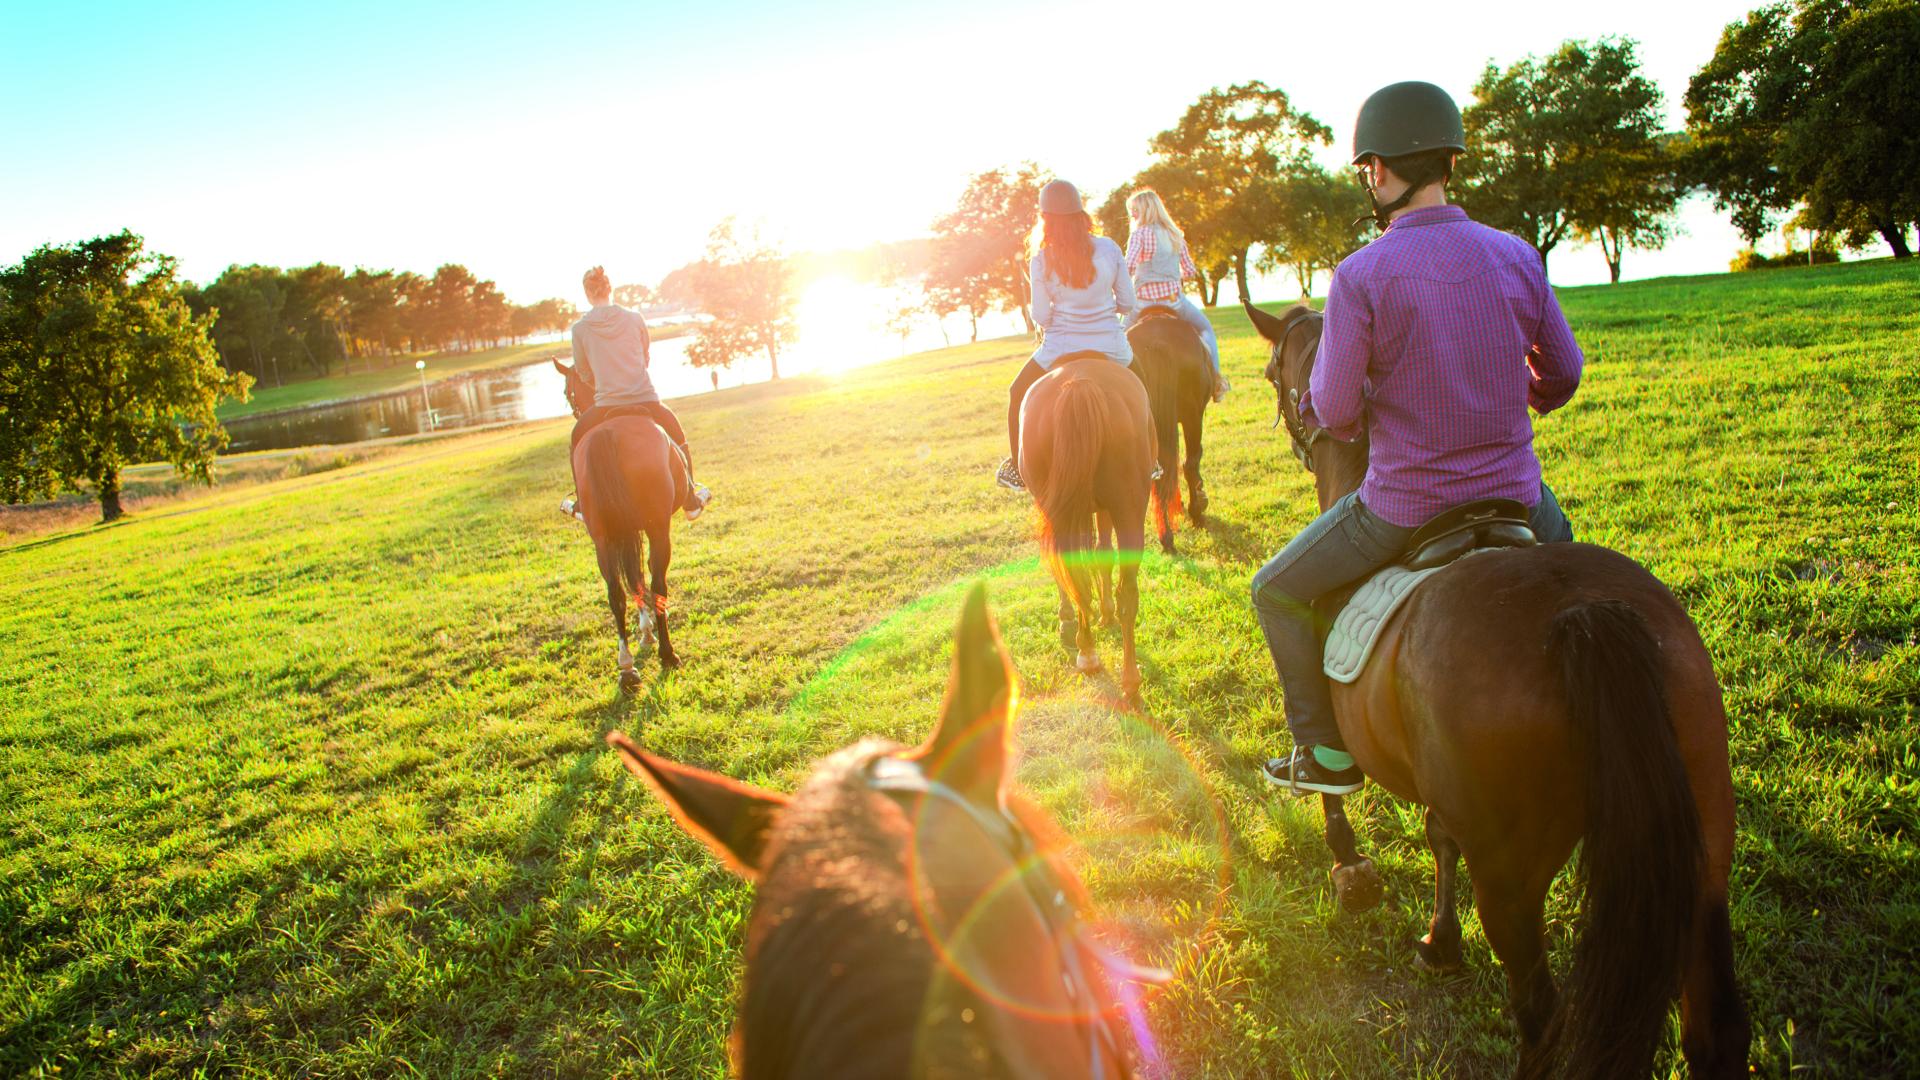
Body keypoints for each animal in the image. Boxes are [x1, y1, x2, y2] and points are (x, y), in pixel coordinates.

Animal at [556, 357, 683, 684]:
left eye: (568, 393)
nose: (575, 409)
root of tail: (608, 432)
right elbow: (640, 575)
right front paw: (649, 633)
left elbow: (632, 578)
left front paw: (645, 633)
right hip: (657, 527)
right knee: (657, 582)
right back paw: (667, 652)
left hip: (603, 536)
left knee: (616, 593)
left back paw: (626, 667)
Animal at [1021, 349, 1152, 691]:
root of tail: (1080, 384)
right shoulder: (1101, 509)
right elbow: (1102, 554)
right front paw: (1104, 614)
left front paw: (1068, 619)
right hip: (1128, 508)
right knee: (1126, 589)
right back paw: (1127, 674)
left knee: (1075, 574)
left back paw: (1089, 652)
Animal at [1244, 295, 1758, 1076]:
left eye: (1276, 371)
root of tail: (1580, 614)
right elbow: (1438, 834)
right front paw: (1439, 942)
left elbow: (1327, 777)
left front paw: (1352, 871)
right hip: (1701, 853)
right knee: (1716, 1030)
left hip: (1513, 881)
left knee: (1541, 1013)